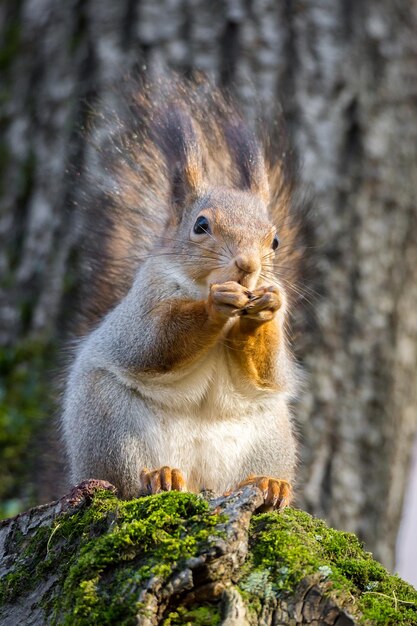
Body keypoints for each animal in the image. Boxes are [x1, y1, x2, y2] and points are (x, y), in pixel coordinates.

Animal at [62, 75, 308, 510]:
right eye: (200, 225)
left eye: (275, 240)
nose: (248, 266)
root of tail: (199, 479)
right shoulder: (146, 299)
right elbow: (157, 341)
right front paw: (214, 306)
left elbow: (269, 370)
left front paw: (262, 310)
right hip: (109, 424)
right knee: (126, 480)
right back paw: (157, 475)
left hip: (270, 435)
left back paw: (268, 485)